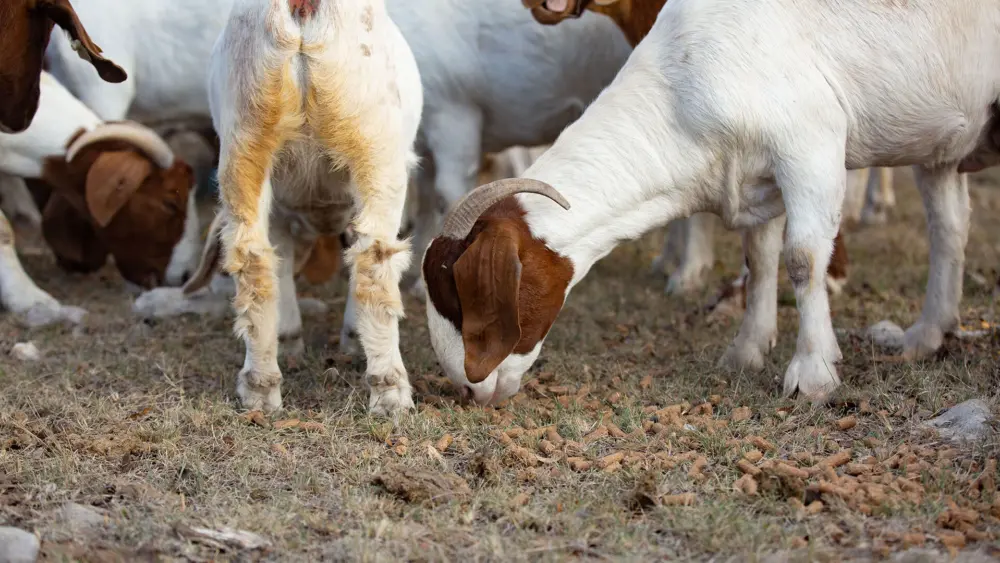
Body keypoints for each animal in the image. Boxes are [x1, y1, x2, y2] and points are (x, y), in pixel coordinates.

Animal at [208, 0, 422, 414]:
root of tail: (302, 9)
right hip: (375, 145)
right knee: (373, 262)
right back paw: (391, 393)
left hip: (247, 136)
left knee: (253, 260)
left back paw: (260, 389)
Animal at [423, 0, 1000, 405]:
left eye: (462, 297)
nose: (467, 389)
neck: (684, 84)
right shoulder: (759, 176)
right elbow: (761, 257)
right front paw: (746, 350)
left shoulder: (810, 146)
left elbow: (802, 258)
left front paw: (812, 374)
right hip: (946, 144)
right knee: (949, 226)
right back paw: (924, 337)